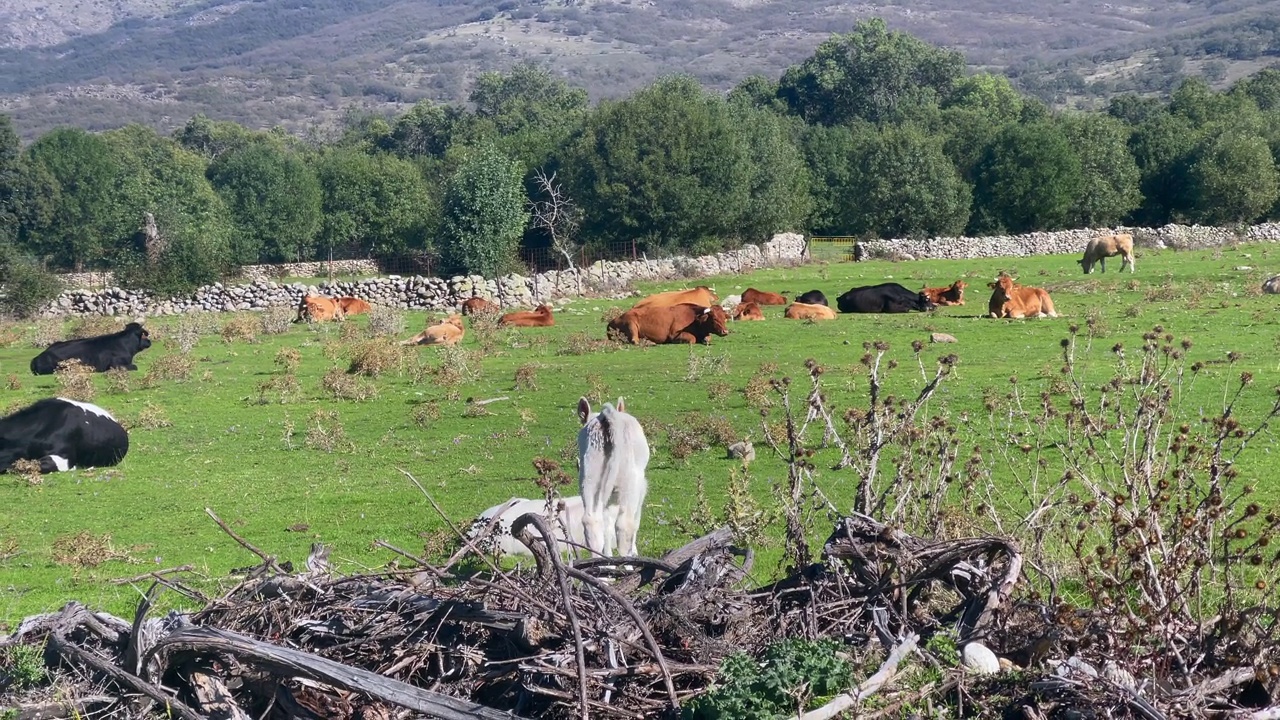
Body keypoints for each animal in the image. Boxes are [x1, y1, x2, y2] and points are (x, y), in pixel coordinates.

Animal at [578, 392, 650, 556]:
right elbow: (636, 520)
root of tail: (605, 418)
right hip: (630, 482)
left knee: (592, 520)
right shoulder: (641, 487)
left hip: (589, 476)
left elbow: (607, 525)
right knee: (625, 524)